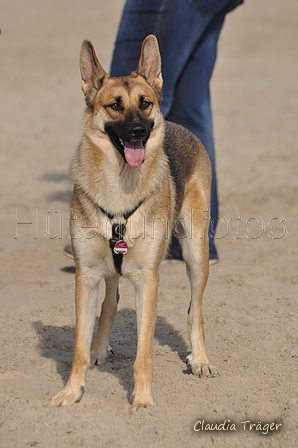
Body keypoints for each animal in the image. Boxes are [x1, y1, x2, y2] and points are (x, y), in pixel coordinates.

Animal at [50, 36, 218, 412]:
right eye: (115, 105)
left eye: (145, 103)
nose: (140, 131)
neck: (119, 189)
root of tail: (179, 127)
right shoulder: (86, 276)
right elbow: (79, 348)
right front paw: (72, 390)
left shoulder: (147, 281)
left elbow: (144, 353)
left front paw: (141, 400)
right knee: (111, 302)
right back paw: (99, 348)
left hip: (196, 253)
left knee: (196, 311)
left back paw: (200, 359)